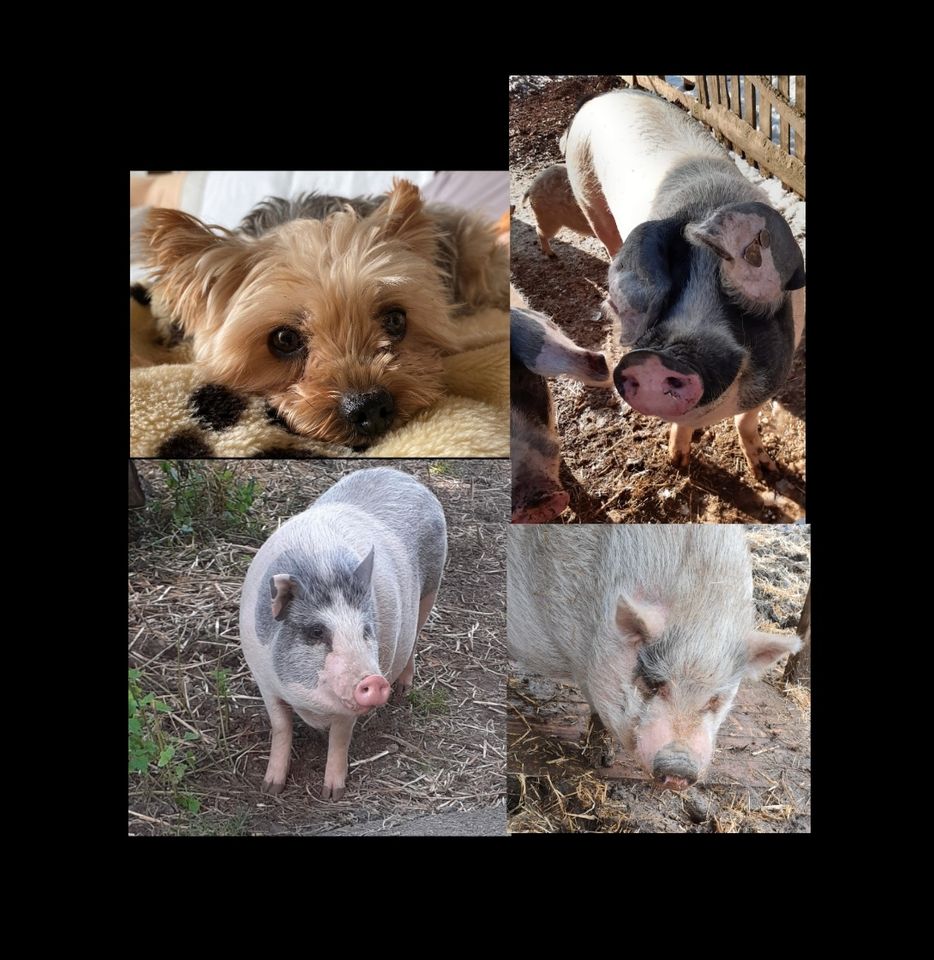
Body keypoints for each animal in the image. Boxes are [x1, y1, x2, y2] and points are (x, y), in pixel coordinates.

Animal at [239, 468, 448, 800]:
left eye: (366, 630)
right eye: (316, 631)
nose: (374, 680)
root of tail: (406, 477)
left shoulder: (346, 711)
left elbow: (340, 738)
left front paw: (331, 794)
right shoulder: (264, 681)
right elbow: (281, 727)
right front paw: (270, 788)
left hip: (431, 588)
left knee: (415, 639)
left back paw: (403, 689)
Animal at [568, 91, 808, 480]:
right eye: (672, 273)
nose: (663, 359)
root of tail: (606, 95)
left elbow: (746, 421)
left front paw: (766, 472)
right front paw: (678, 464)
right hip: (588, 197)